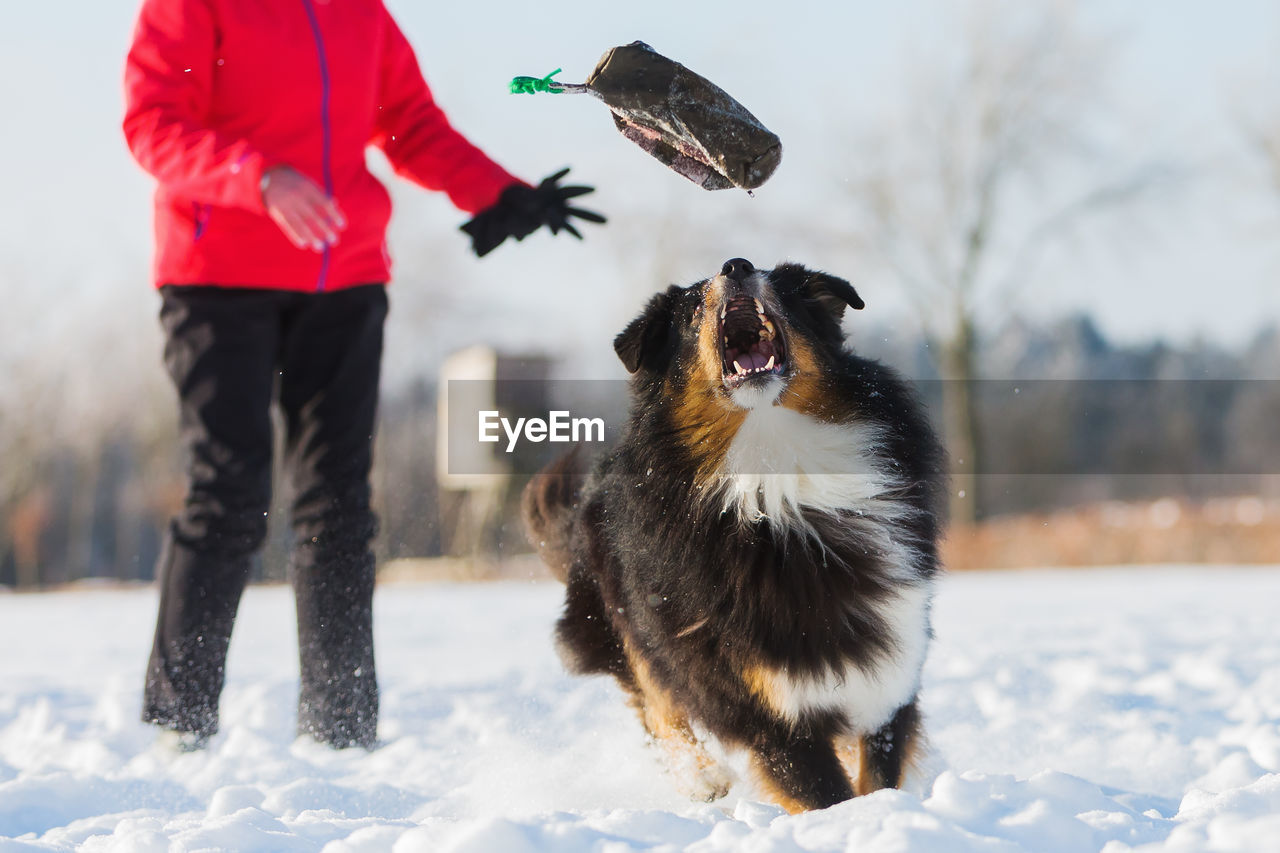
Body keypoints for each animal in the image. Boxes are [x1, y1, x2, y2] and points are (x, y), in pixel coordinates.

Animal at [522, 257, 952, 809]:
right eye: (692, 309)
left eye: (778, 284)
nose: (736, 266)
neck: (780, 474)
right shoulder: (764, 709)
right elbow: (826, 794)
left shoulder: (888, 673)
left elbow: (877, 774)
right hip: (627, 619)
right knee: (655, 700)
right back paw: (703, 779)